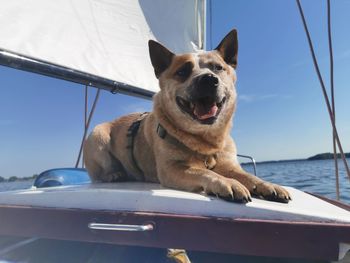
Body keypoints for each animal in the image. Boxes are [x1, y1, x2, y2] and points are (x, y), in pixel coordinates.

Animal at [83, 30, 292, 204]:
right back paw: (114, 175)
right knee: (100, 173)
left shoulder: (229, 165)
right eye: (182, 71)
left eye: (218, 68)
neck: (205, 140)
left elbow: (248, 176)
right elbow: (203, 172)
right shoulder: (172, 169)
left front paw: (268, 185)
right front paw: (228, 183)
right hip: (97, 135)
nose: (208, 79)